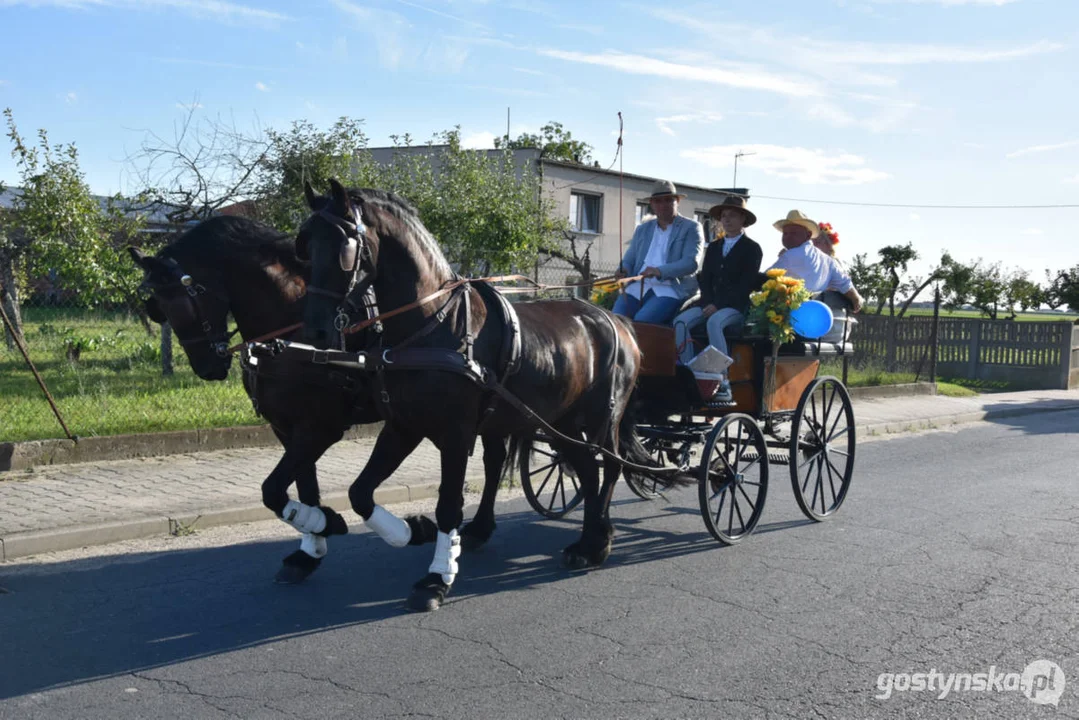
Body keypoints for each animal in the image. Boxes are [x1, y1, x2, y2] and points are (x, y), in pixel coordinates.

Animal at [295, 177, 686, 613]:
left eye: (344, 248)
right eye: (304, 245)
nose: (314, 331)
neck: (435, 323)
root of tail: (616, 320)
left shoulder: (454, 434)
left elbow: (448, 504)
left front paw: (436, 578)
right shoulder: (402, 426)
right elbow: (360, 492)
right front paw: (411, 530)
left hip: (603, 416)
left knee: (609, 467)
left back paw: (598, 541)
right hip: (562, 422)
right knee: (586, 469)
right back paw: (583, 542)